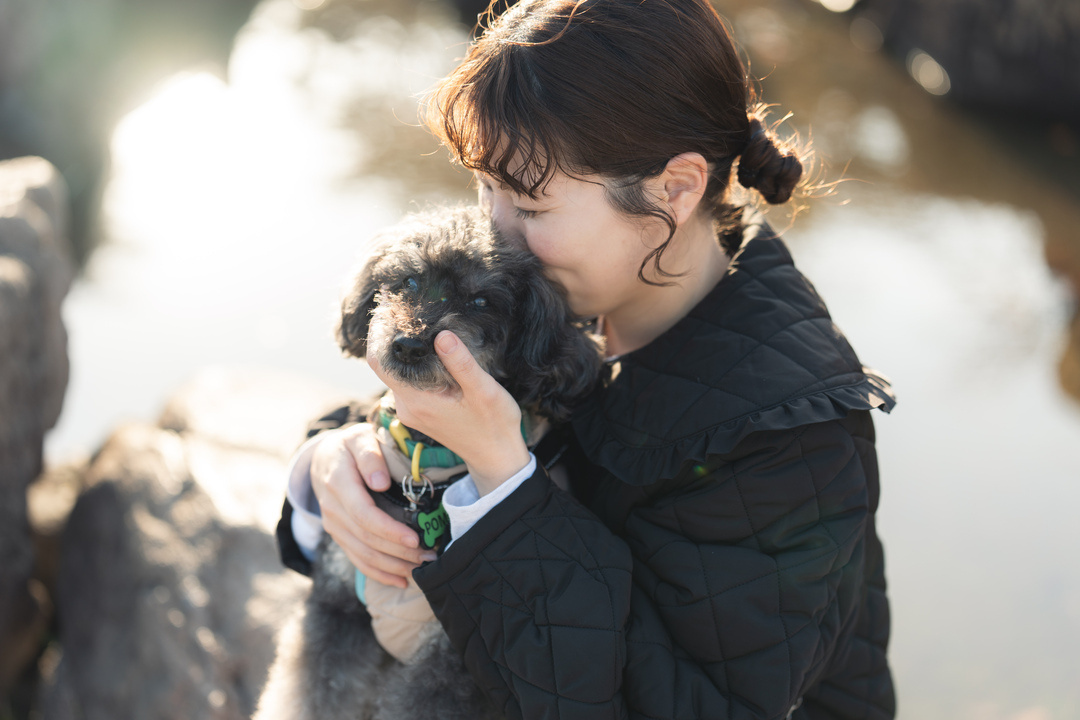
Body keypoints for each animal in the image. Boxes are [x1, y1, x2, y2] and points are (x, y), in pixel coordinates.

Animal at [255, 205, 604, 720]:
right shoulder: (337, 611)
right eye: (409, 281)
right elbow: (309, 696)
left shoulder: (449, 665)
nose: (410, 344)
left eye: (481, 301)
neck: (426, 459)